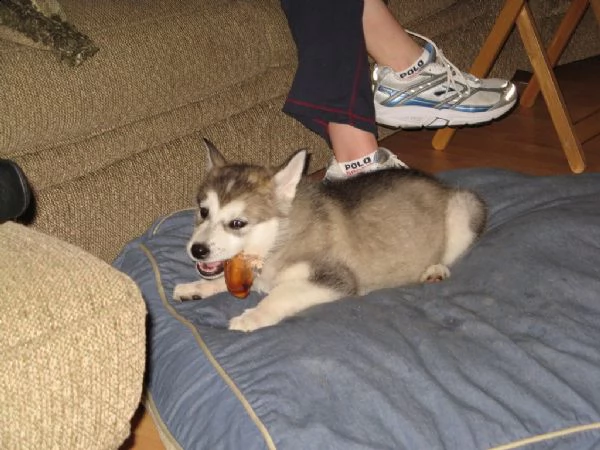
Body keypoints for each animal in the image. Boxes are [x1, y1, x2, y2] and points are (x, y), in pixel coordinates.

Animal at [171, 140, 486, 330]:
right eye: (203, 211)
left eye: (238, 223)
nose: (197, 250)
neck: (278, 240)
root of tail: (439, 183)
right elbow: (222, 280)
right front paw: (195, 287)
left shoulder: (337, 279)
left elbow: (281, 294)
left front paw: (253, 316)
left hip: (463, 209)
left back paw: (435, 270)